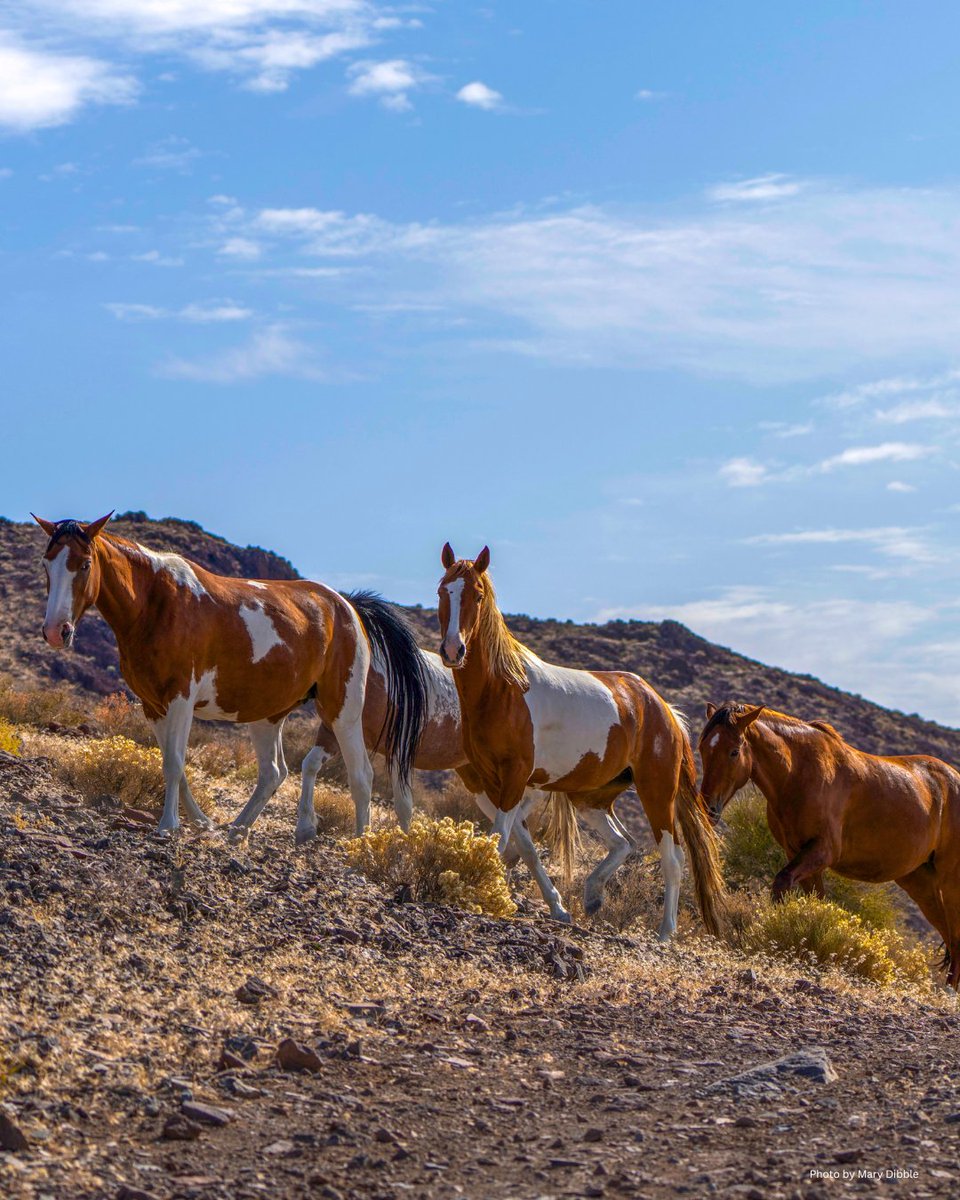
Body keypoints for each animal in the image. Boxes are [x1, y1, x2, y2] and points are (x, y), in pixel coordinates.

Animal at [32, 514, 426, 839]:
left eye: (85, 564)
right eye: (47, 563)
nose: (55, 632)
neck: (155, 604)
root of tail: (346, 606)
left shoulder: (180, 699)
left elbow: (174, 764)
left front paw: (168, 826)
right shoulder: (153, 705)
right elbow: (175, 766)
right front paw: (201, 822)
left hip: (342, 711)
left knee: (361, 777)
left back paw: (360, 843)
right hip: (268, 715)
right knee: (273, 773)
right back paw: (238, 829)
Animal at [299, 626, 568, 919]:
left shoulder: (399, 748)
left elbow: (402, 805)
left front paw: (397, 857)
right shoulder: (333, 731)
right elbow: (310, 764)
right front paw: (306, 828)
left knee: (524, 814)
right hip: (476, 777)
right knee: (521, 833)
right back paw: (546, 900)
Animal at [435, 544, 725, 939]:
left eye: (478, 596)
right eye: (442, 592)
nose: (453, 650)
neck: (503, 690)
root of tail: (665, 710)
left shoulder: (515, 777)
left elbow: (502, 841)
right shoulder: (490, 781)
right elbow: (522, 846)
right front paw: (557, 908)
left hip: (656, 792)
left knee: (672, 857)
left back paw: (665, 932)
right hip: (591, 797)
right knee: (624, 842)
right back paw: (592, 896)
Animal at [698, 702, 960, 986]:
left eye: (734, 751)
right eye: (702, 748)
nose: (708, 809)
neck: (799, 773)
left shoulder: (822, 851)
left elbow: (781, 884)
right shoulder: (799, 854)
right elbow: (815, 901)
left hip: (950, 880)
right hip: (919, 882)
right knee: (949, 936)